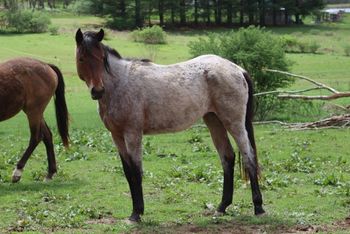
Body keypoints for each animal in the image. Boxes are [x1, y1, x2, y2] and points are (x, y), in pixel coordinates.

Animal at [74, 28, 266, 221]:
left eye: (101, 58)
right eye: (82, 58)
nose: (97, 91)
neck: (120, 83)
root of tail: (238, 69)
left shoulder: (133, 134)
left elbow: (136, 171)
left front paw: (137, 213)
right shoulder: (117, 136)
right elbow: (128, 172)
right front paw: (134, 212)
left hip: (234, 123)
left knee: (249, 157)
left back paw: (258, 207)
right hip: (214, 121)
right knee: (227, 157)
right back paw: (222, 207)